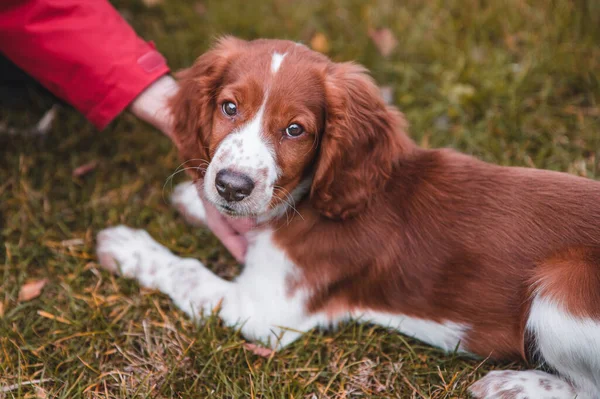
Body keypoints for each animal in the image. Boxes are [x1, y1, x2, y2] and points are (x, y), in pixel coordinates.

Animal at [97, 38, 600, 399]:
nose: (231, 186)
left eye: (295, 130)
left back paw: (512, 384)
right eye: (229, 107)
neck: (311, 200)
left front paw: (127, 246)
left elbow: (188, 272)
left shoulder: (267, 313)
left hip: (560, 290)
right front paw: (193, 198)